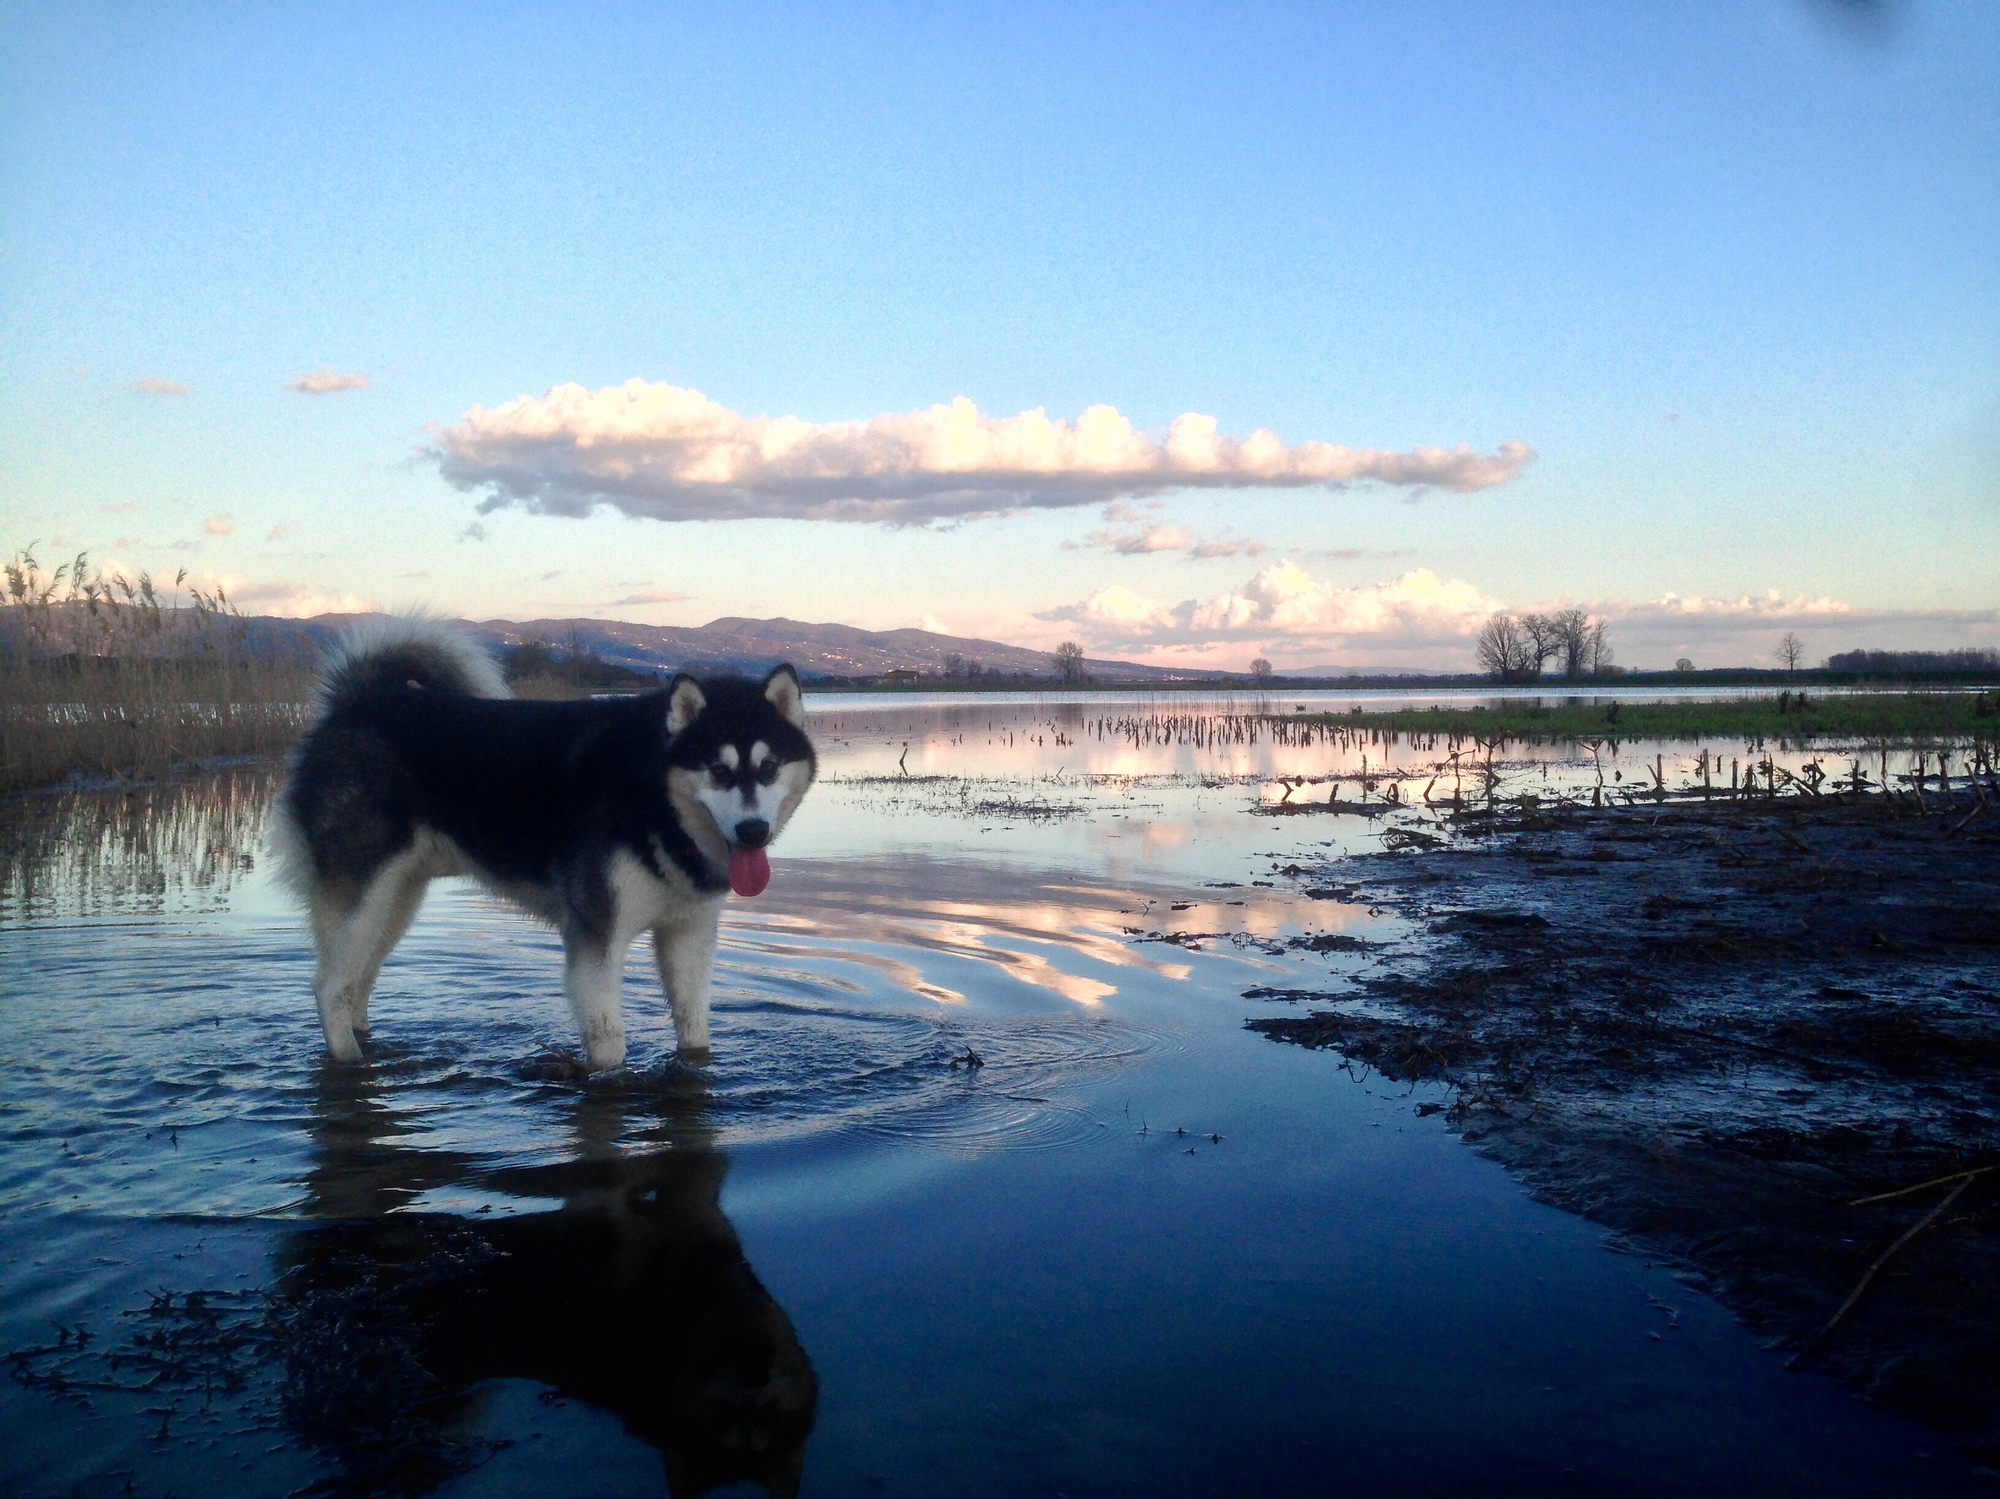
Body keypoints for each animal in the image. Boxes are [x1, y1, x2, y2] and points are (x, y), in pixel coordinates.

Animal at [274, 619, 812, 1071]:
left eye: (768, 767)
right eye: (719, 770)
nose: (753, 831)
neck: (653, 798)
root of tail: (354, 706)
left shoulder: (688, 933)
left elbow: (694, 1026)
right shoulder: (595, 938)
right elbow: (609, 1041)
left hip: (394, 903)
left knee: (357, 986)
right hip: (364, 903)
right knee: (329, 988)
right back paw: (350, 1060)